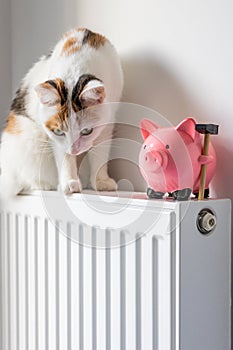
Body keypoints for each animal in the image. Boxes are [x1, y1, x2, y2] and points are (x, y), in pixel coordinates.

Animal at [0, 27, 124, 197]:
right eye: (59, 131)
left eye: (87, 131)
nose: (74, 150)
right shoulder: (55, 137)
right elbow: (63, 156)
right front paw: (69, 182)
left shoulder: (108, 120)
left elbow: (101, 151)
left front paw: (101, 181)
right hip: (29, 136)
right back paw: (42, 184)